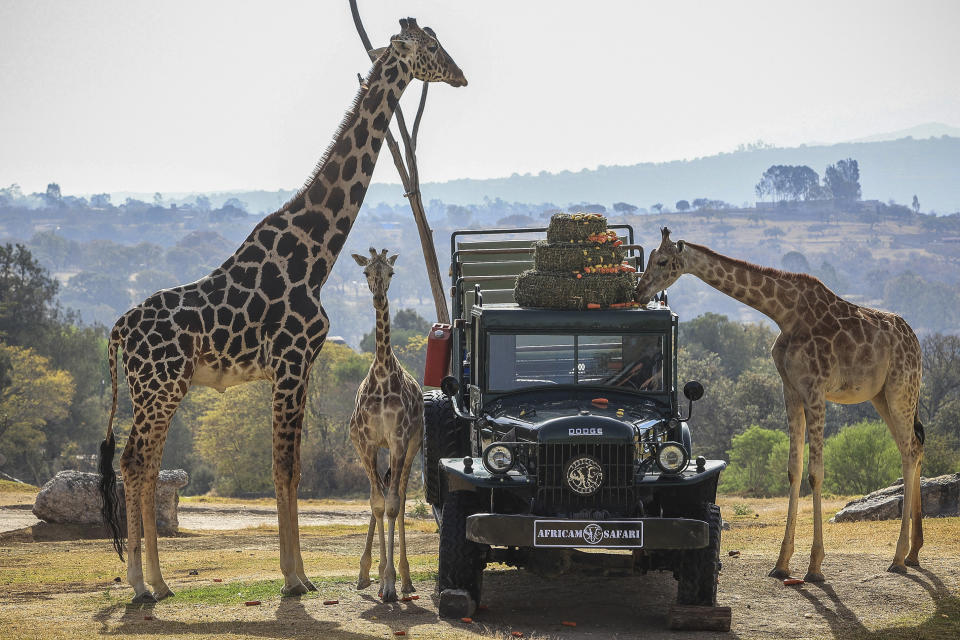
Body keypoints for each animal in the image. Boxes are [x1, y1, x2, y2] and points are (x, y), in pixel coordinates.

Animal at [98, 17, 468, 604]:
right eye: (431, 46)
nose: (460, 75)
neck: (316, 253)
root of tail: (117, 331)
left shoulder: (298, 367)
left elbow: (289, 469)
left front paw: (298, 573)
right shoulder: (293, 362)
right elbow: (286, 469)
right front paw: (294, 577)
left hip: (157, 389)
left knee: (144, 465)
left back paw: (157, 582)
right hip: (159, 387)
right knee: (136, 463)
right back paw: (140, 583)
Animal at [636, 229, 924, 580]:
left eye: (663, 261)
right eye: (650, 258)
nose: (638, 291)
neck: (784, 313)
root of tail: (916, 342)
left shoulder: (815, 388)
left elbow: (815, 472)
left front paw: (815, 566)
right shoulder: (790, 389)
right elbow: (793, 469)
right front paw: (782, 563)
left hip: (901, 388)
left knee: (910, 450)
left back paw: (898, 557)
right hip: (880, 395)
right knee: (913, 447)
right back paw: (912, 553)